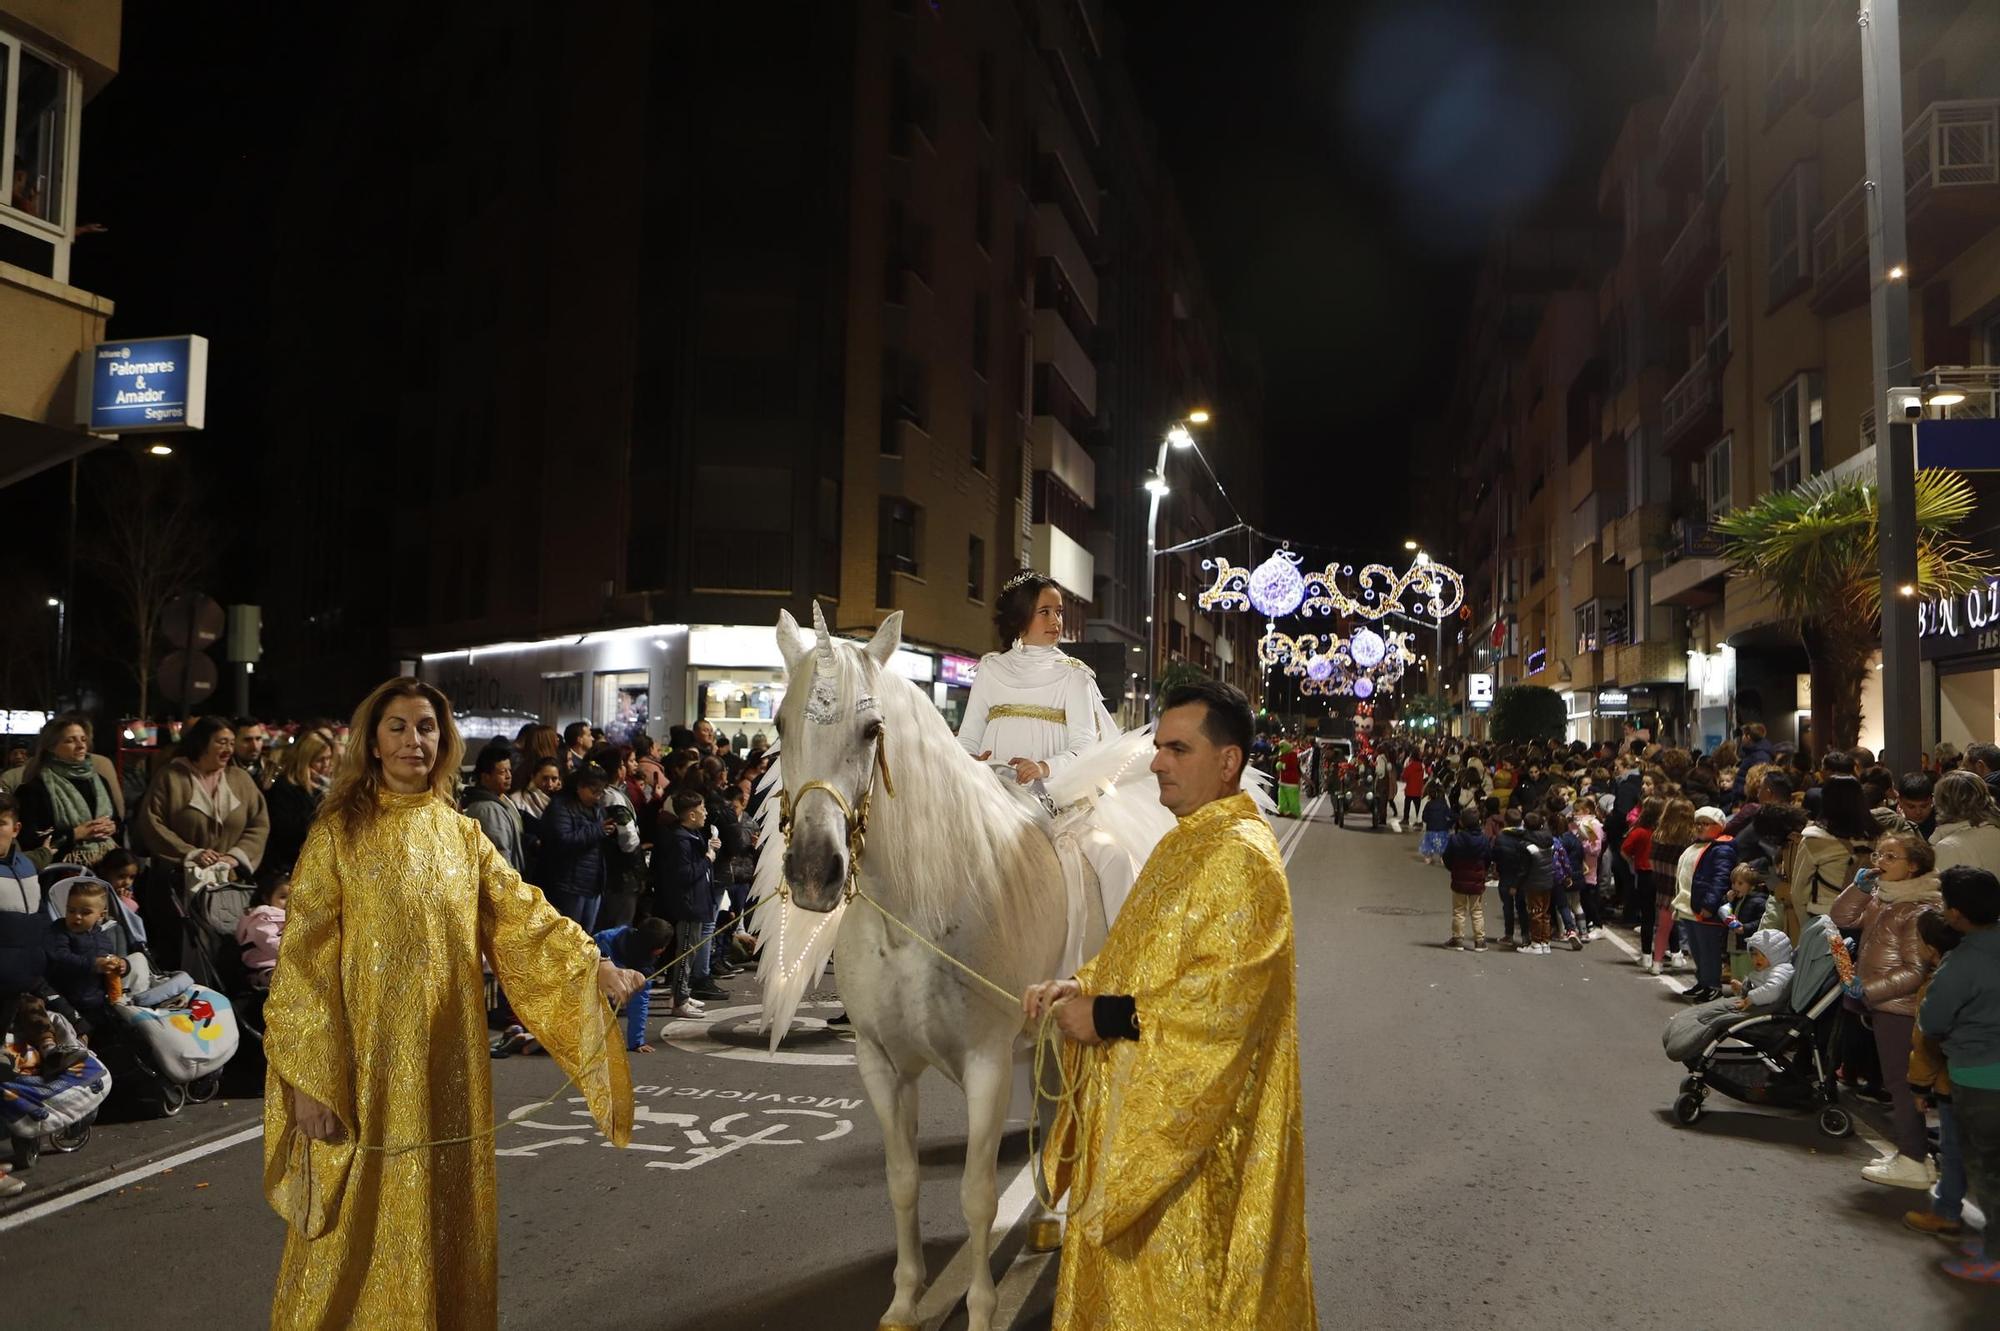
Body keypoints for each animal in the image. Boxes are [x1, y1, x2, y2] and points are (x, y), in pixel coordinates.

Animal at [752, 603, 1104, 1327]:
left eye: (872, 728)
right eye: (778, 724)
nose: (812, 872)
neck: (912, 913)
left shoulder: (987, 1065)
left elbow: (976, 1194)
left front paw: (981, 1307)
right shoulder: (882, 1064)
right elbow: (903, 1180)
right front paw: (905, 1299)